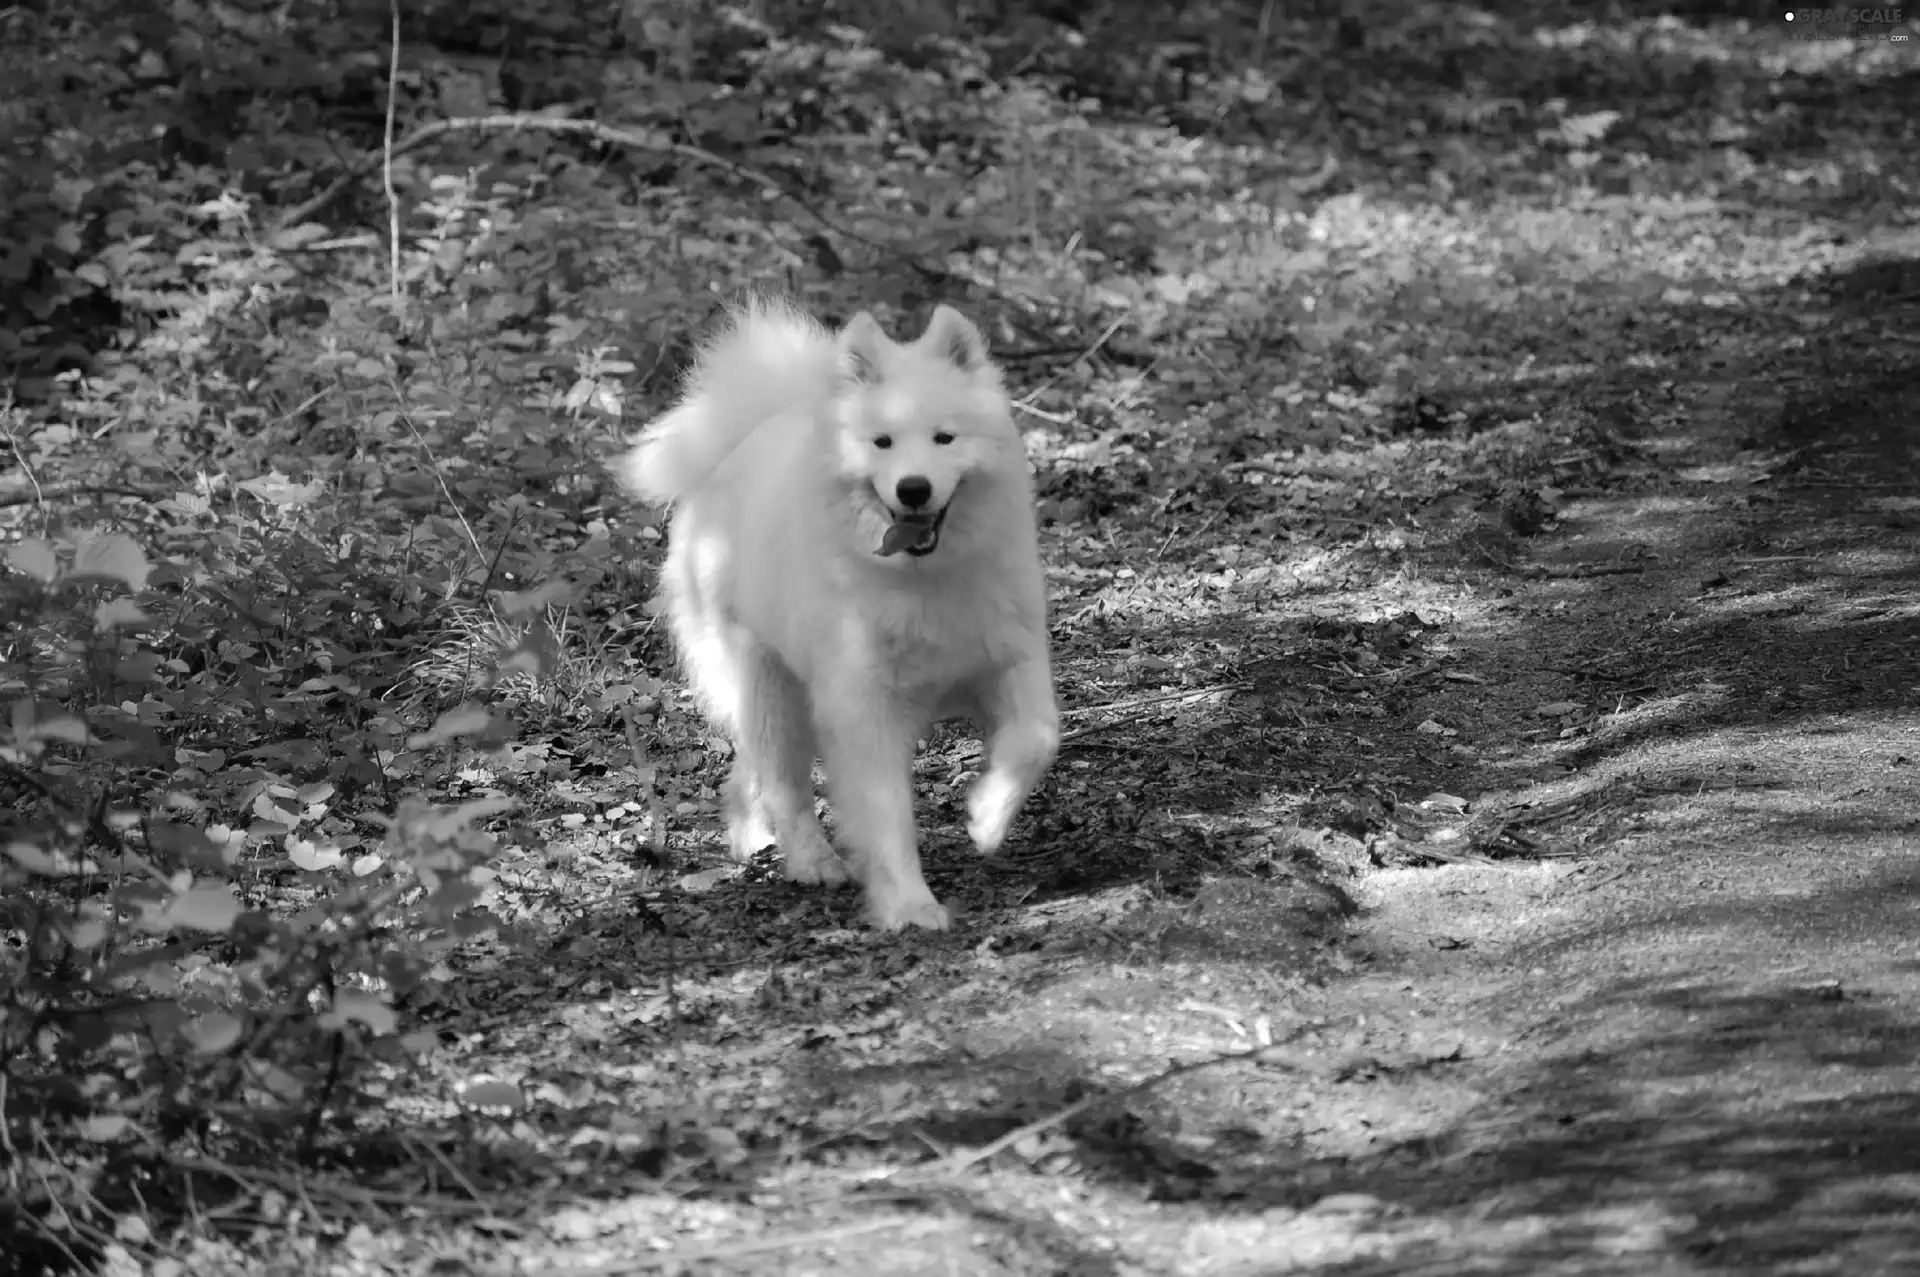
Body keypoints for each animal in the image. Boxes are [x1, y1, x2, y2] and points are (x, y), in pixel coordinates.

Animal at [614, 303, 1059, 933]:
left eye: (944, 438)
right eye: (883, 443)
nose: (913, 488)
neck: (922, 578)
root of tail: (743, 441)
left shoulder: (1009, 659)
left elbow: (1038, 738)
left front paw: (988, 816)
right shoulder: (864, 706)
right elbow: (886, 812)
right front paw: (909, 905)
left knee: (749, 775)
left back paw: (751, 838)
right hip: (767, 685)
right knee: (784, 783)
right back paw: (812, 861)